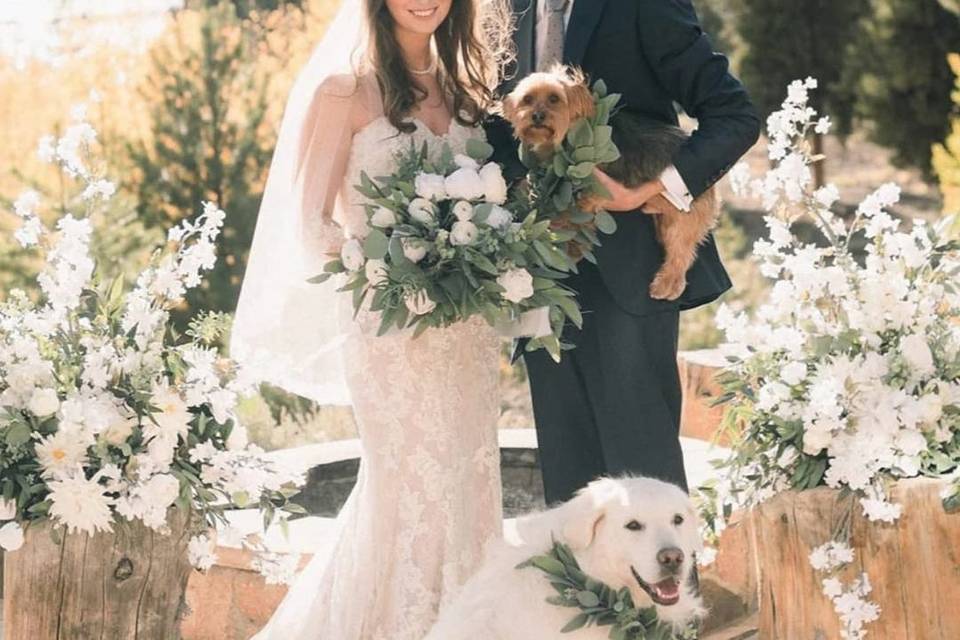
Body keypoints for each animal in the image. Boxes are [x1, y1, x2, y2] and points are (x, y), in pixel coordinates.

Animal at [502, 66, 720, 302]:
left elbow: (575, 217)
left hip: (681, 220)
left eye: (554, 98)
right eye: (527, 99)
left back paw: (666, 286)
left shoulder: (591, 190)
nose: (537, 116)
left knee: (681, 254)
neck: (568, 133)